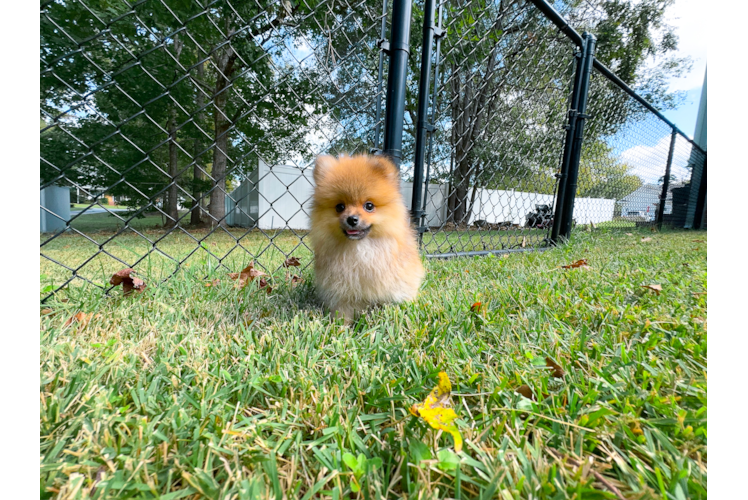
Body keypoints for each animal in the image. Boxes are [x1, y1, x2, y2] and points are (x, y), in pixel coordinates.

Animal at [310, 154, 426, 322]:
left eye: (369, 206)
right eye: (340, 207)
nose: (352, 219)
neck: (361, 250)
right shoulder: (342, 295)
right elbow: (343, 314)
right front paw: (341, 326)